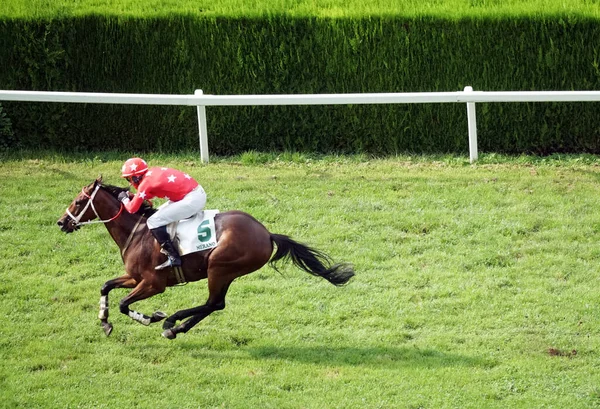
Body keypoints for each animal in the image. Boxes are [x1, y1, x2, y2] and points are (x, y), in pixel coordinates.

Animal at [55, 175, 356, 338]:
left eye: (79, 202)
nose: (61, 222)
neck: (137, 231)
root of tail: (267, 234)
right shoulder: (134, 277)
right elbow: (106, 286)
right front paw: (104, 321)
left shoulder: (153, 283)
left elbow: (123, 303)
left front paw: (150, 317)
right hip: (226, 271)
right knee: (216, 304)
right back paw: (175, 328)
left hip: (219, 266)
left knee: (213, 303)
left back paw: (171, 322)